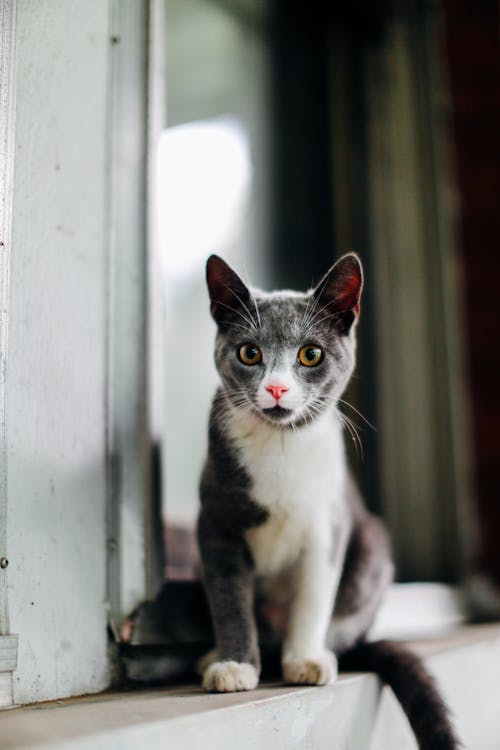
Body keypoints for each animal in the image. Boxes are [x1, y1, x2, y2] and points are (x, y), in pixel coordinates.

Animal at [197, 256, 458, 748]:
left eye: (310, 354)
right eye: (249, 353)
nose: (277, 389)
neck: (280, 446)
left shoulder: (328, 525)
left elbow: (315, 594)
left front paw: (304, 660)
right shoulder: (216, 523)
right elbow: (228, 597)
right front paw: (235, 665)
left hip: (371, 551)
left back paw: (320, 653)